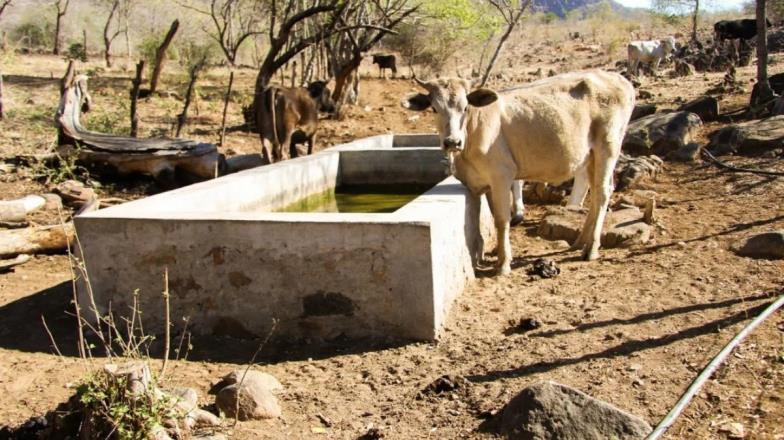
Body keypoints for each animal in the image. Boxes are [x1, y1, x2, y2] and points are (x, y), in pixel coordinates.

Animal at [404, 70, 636, 274]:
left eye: (465, 107)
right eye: (434, 109)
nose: (452, 142)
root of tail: (618, 78)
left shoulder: (501, 175)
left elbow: (501, 219)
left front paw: (503, 263)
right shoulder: (483, 184)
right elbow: (489, 218)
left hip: (608, 146)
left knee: (602, 192)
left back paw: (591, 249)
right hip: (590, 155)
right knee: (596, 191)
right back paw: (580, 242)